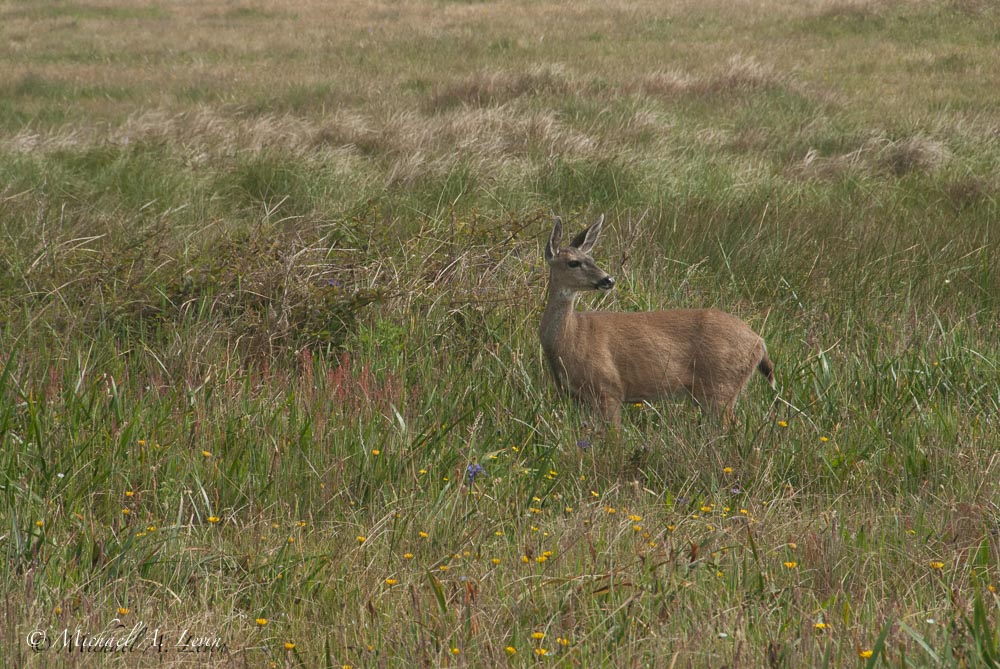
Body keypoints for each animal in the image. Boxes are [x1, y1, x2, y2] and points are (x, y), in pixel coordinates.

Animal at [539, 214, 774, 426]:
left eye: (592, 260)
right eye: (573, 262)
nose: (609, 279)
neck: (571, 337)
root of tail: (760, 342)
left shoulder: (609, 388)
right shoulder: (579, 398)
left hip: (721, 386)